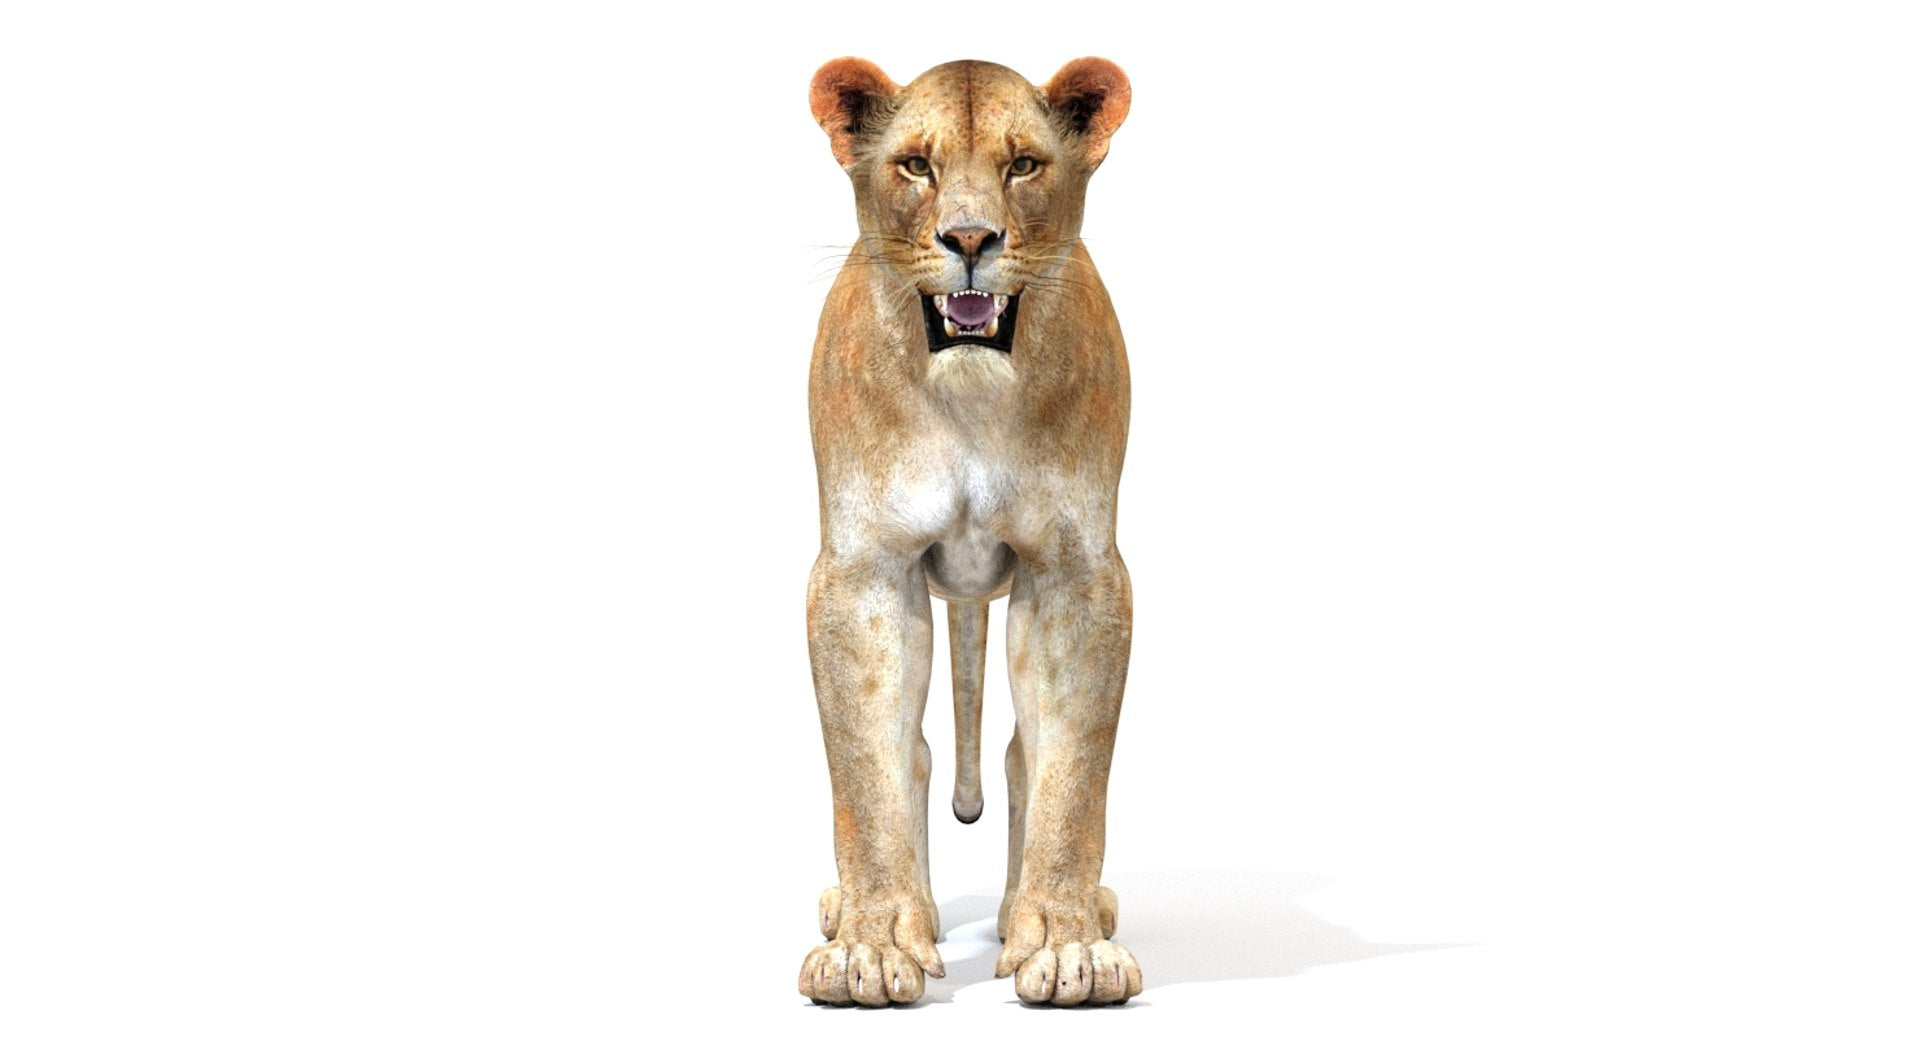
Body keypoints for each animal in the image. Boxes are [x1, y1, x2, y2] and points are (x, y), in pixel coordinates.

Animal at [797, 57, 1141, 1007]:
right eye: (917, 165)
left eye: (1022, 164)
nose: (972, 238)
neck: (972, 396)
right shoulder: (863, 572)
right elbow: (871, 767)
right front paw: (874, 947)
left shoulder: (1077, 572)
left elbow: (1068, 772)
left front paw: (1064, 945)